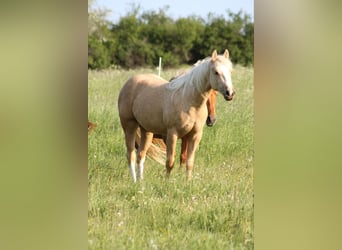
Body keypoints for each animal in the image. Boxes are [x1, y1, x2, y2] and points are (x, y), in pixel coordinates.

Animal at [118, 49, 235, 182]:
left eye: (230, 71)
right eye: (216, 72)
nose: (230, 93)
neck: (189, 101)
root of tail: (129, 82)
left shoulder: (195, 135)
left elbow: (189, 162)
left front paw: (188, 182)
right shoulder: (172, 135)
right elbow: (170, 161)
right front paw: (167, 182)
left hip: (146, 131)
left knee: (141, 155)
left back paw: (141, 182)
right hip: (129, 126)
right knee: (131, 155)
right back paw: (134, 181)